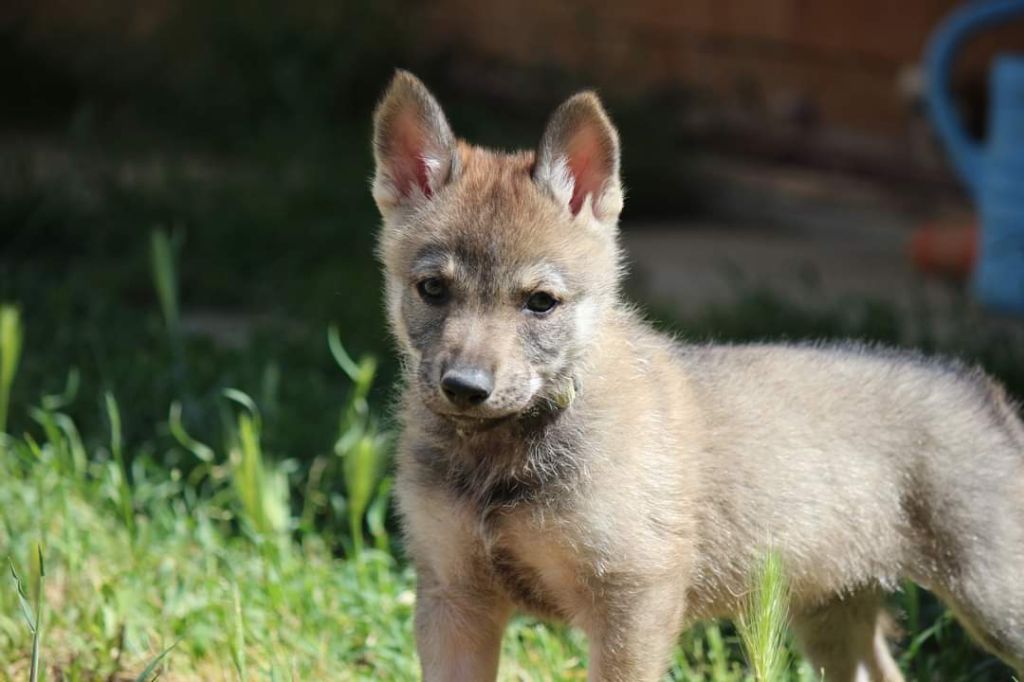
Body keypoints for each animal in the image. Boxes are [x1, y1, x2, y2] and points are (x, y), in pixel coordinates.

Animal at [371, 70, 1024, 681]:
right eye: (433, 289)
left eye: (540, 303)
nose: (465, 388)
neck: (505, 455)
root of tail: (978, 388)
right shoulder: (454, 596)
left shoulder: (633, 601)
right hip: (832, 610)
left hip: (992, 599)